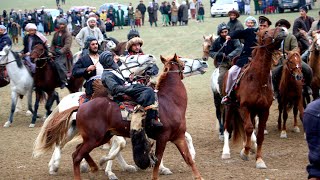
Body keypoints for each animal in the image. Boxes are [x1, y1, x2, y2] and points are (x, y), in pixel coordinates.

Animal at [33, 56, 208, 179]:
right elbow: (153, 158)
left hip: (94, 135)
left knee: (70, 148)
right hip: (89, 136)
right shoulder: (161, 136)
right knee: (66, 148)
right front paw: (110, 168)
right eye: (184, 60)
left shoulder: (175, 135)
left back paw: (84, 166)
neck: (169, 101)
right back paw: (60, 166)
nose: (204, 62)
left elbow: (187, 151)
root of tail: (78, 106)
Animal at [221, 27, 288, 169]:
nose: (283, 29)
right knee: (227, 127)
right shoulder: (244, 107)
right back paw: (226, 152)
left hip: (251, 111)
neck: (258, 79)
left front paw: (259, 159)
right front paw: (245, 153)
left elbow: (260, 134)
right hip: (230, 107)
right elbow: (249, 128)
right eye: (266, 32)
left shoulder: (263, 110)